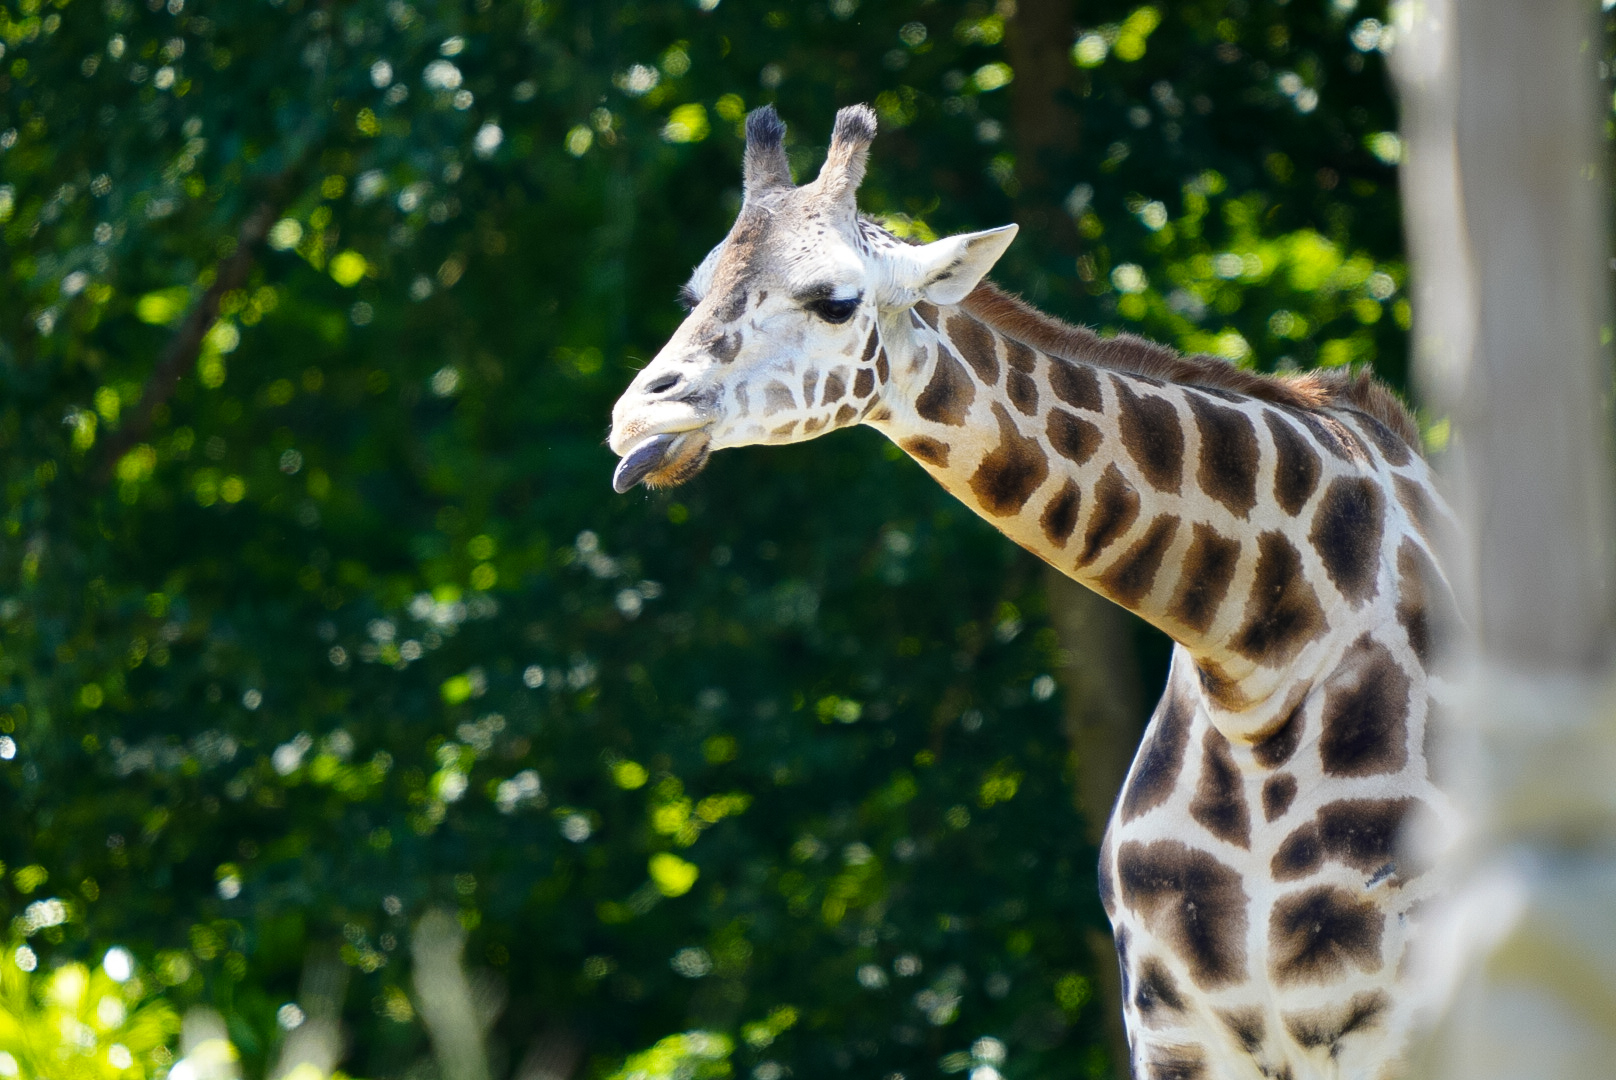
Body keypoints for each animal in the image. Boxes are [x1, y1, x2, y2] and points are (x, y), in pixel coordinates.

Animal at [608, 104, 1461, 1080]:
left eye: (836, 300)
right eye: (693, 293)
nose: (639, 420)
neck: (1258, 648)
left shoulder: (1409, 1020)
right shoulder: (1172, 1029)